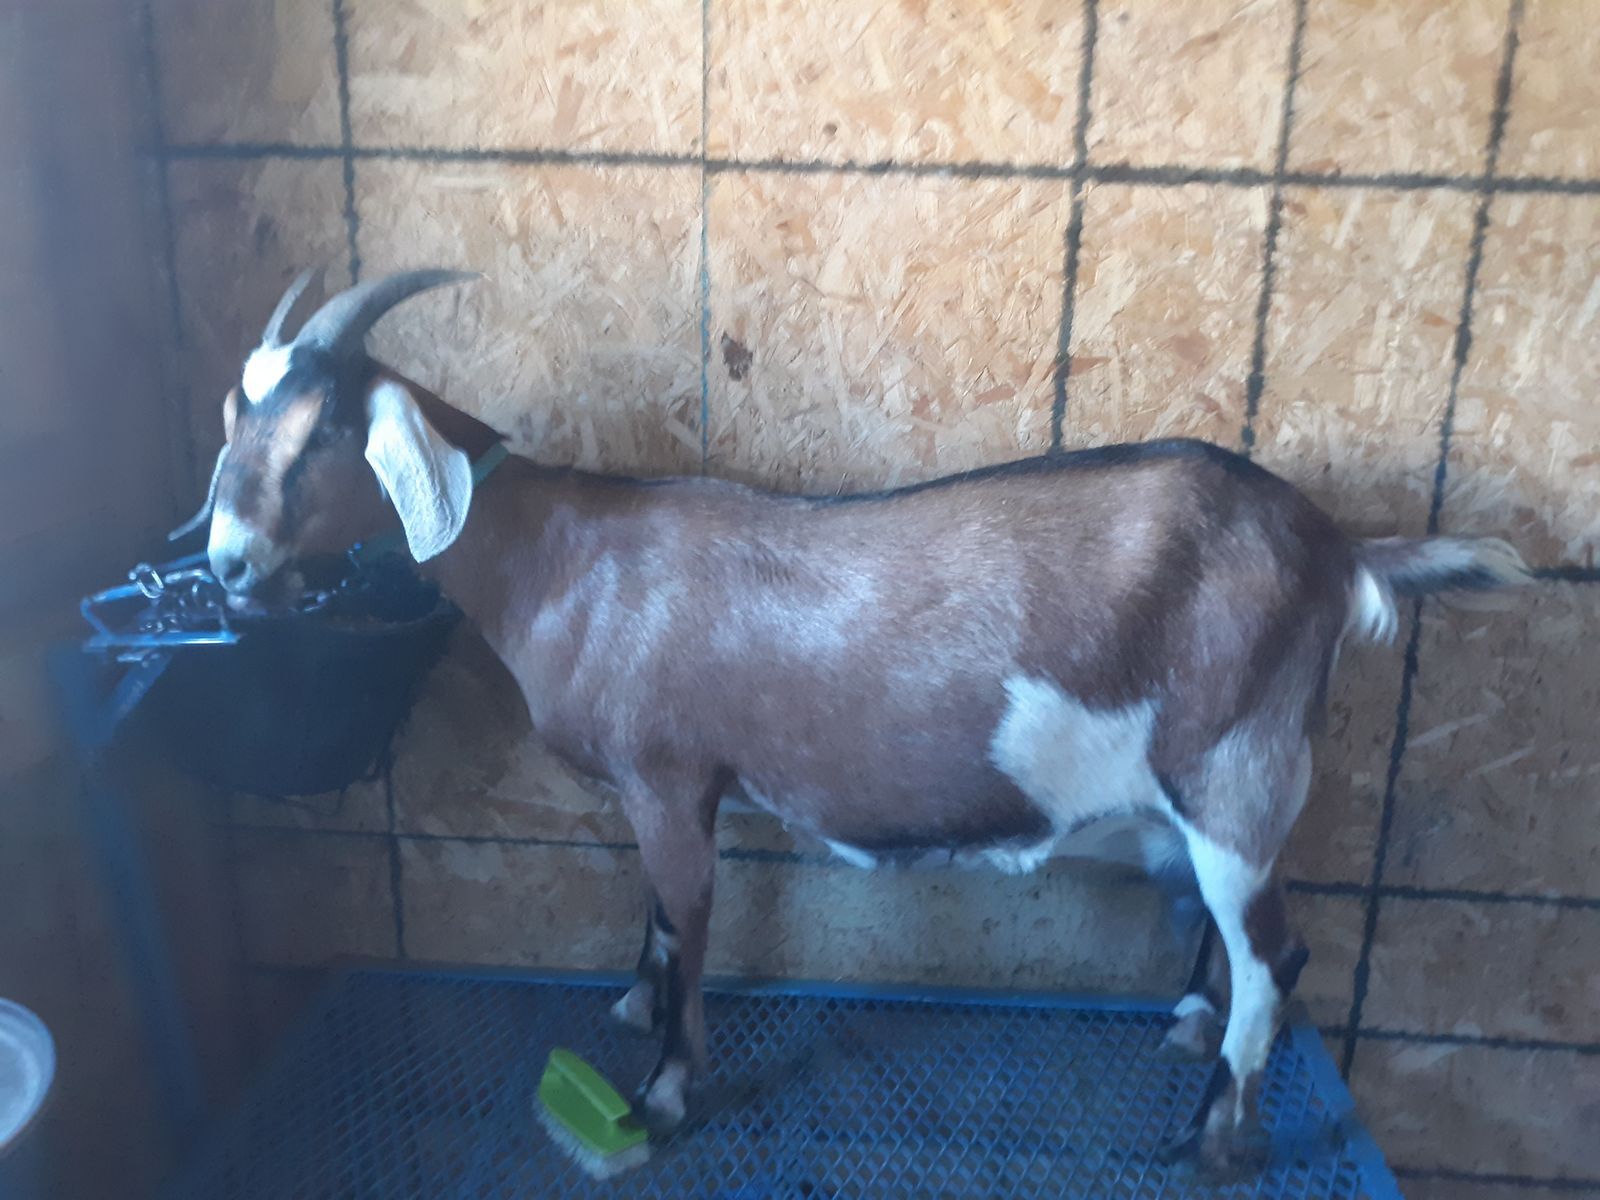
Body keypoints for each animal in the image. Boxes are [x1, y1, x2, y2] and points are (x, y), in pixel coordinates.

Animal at [195, 270, 1529, 1175]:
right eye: (232, 422)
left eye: (324, 435)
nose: (225, 565)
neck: (559, 557)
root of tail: (1335, 550)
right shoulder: (657, 785)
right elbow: (655, 921)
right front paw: (628, 1007)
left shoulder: (670, 776)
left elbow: (690, 924)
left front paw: (661, 1097)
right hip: (1205, 799)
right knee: (1231, 942)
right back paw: (1190, 1033)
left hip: (1235, 772)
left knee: (1277, 960)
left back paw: (1212, 1140)